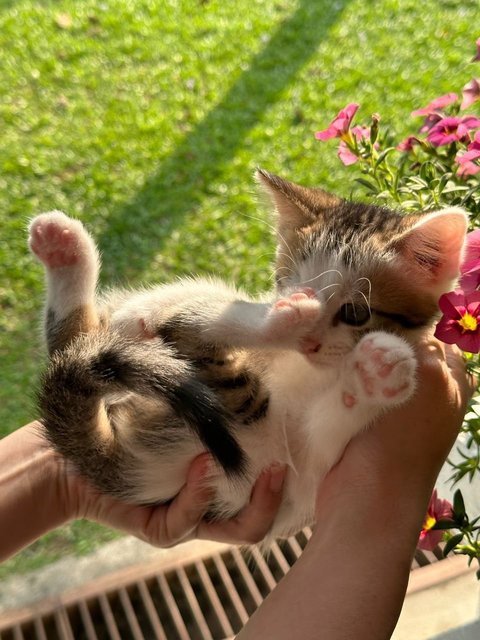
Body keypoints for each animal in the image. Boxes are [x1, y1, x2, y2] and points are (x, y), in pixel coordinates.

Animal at [28, 169, 466, 540]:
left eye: (356, 313)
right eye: (283, 281)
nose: (308, 343)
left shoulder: (297, 474)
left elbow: (329, 422)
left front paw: (376, 373)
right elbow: (213, 316)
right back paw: (68, 252)